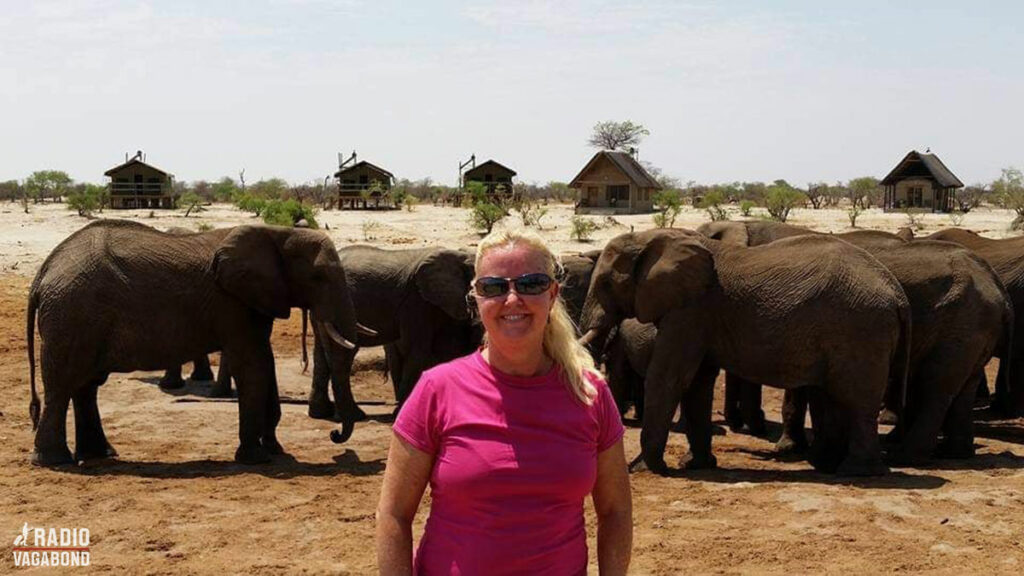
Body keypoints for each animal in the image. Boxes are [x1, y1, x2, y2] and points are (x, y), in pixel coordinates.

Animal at [27, 217, 364, 463]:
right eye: (318, 277)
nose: (335, 437)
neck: (276, 232)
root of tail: (43, 273)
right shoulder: (232, 303)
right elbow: (252, 366)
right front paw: (255, 458)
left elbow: (264, 362)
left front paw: (275, 450)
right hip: (72, 314)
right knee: (63, 386)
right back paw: (54, 460)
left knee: (85, 386)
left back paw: (100, 454)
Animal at [307, 242, 479, 416]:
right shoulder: (416, 301)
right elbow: (417, 350)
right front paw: (402, 412)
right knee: (343, 354)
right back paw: (353, 415)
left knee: (321, 353)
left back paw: (321, 413)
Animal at [581, 226, 909, 473]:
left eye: (605, 283)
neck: (654, 237)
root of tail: (896, 291)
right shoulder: (697, 314)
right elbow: (698, 382)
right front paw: (696, 465)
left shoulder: (691, 310)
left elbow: (669, 378)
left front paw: (643, 469)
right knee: (835, 398)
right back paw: (825, 464)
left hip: (862, 331)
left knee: (857, 401)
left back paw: (855, 471)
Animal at [700, 222, 1011, 459]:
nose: (740, 425)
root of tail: (996, 285)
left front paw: (787, 448)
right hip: (974, 328)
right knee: (962, 387)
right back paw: (953, 453)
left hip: (963, 324)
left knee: (936, 386)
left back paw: (905, 455)